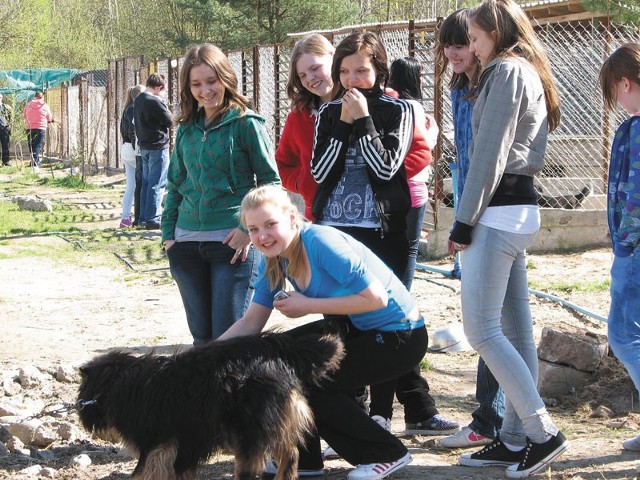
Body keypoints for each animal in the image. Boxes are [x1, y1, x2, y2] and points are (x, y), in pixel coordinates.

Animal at [78, 332, 344, 478]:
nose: (80, 405)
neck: (116, 383)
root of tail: (280, 352)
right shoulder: (183, 446)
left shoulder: (156, 443)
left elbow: (140, 473)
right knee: (290, 454)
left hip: (249, 429)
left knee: (252, 467)